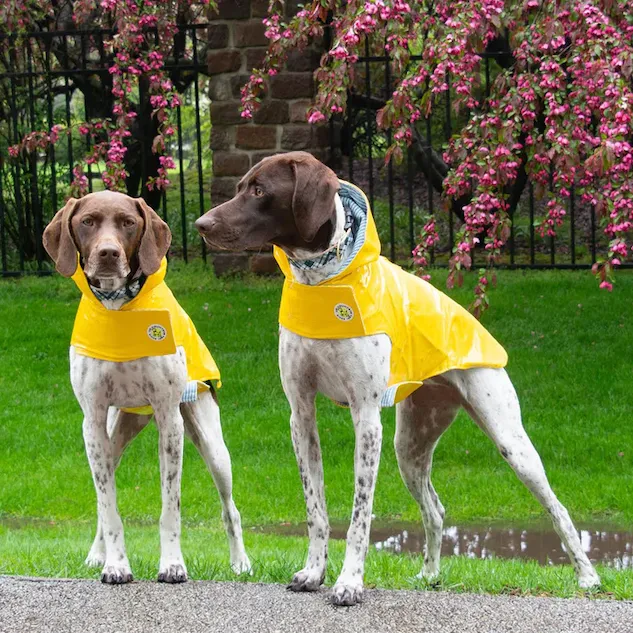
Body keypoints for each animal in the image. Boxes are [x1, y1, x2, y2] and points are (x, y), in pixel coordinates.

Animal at [41, 191, 249, 584]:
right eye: (87, 221)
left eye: (128, 222)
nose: (108, 254)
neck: (118, 308)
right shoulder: (93, 422)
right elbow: (108, 507)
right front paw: (115, 564)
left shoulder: (170, 420)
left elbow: (170, 508)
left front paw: (172, 564)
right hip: (114, 433)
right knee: (101, 501)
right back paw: (96, 555)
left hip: (212, 446)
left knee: (230, 509)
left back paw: (240, 563)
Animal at [195, 152, 600, 604]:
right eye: (239, 187)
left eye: (259, 189)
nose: (201, 225)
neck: (323, 280)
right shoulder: (301, 414)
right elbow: (316, 509)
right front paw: (314, 572)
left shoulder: (366, 416)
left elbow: (360, 515)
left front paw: (349, 582)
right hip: (410, 447)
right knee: (435, 510)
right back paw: (430, 574)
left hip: (510, 441)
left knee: (557, 508)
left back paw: (588, 577)